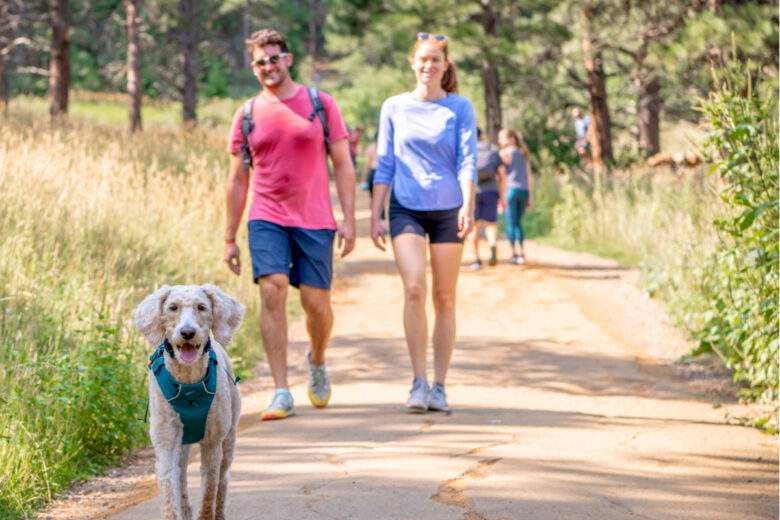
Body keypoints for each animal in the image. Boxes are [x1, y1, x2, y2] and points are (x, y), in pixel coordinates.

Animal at [134, 284, 244, 520]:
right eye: (172, 307)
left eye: (201, 307)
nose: (187, 333)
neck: (188, 381)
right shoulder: (166, 441)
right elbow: (169, 490)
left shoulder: (213, 442)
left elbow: (209, 491)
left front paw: (207, 513)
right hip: (182, 446)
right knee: (182, 478)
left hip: (229, 438)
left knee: (223, 480)